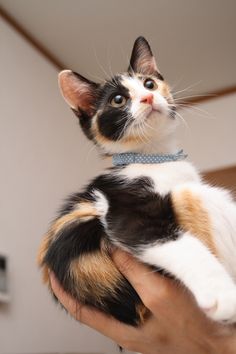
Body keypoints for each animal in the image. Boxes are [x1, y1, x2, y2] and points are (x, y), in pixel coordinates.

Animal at [37, 36, 236, 326]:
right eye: (118, 99)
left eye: (149, 83)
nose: (148, 96)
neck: (154, 157)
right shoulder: (121, 209)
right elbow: (174, 243)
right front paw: (220, 292)